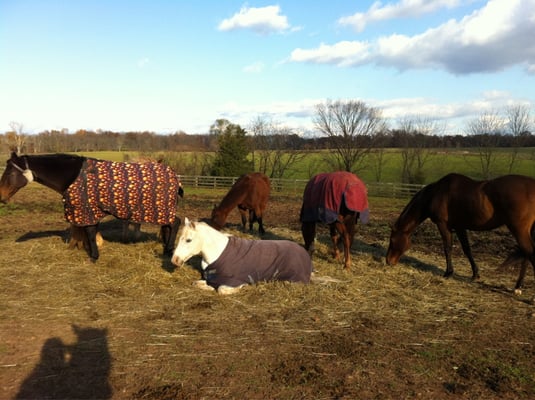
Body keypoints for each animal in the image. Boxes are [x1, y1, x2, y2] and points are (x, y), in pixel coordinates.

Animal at [0, 152, 183, 260]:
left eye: (9, 172)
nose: (1, 197)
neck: (74, 176)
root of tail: (174, 175)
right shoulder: (87, 211)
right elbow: (89, 231)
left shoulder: (86, 210)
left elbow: (89, 231)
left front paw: (93, 255)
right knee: (168, 226)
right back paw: (167, 248)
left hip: (163, 209)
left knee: (175, 223)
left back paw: (168, 249)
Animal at [174, 219, 312, 294]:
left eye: (188, 240)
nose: (174, 260)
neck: (218, 253)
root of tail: (304, 252)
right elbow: (197, 283)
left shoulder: (232, 281)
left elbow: (222, 290)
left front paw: (245, 286)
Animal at [386, 173, 535, 294]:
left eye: (392, 240)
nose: (388, 261)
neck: (436, 193)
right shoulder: (459, 227)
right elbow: (467, 249)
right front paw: (475, 274)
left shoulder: (443, 225)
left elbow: (447, 248)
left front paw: (448, 273)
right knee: (526, 255)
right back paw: (518, 287)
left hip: (519, 230)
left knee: (530, 253)